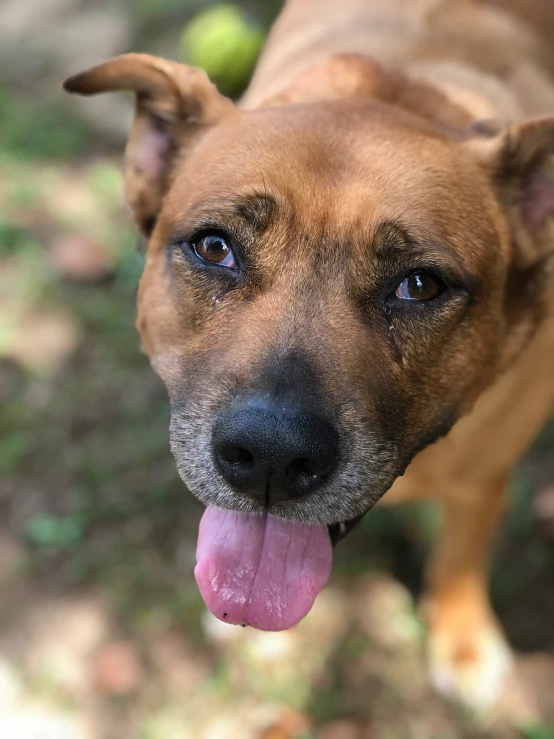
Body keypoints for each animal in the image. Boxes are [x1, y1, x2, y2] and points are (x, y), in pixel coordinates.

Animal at [61, 0, 552, 712]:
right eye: (214, 248)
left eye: (420, 285)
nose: (270, 455)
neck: (393, 91)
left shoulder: (486, 470)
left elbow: (460, 554)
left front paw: (463, 645)